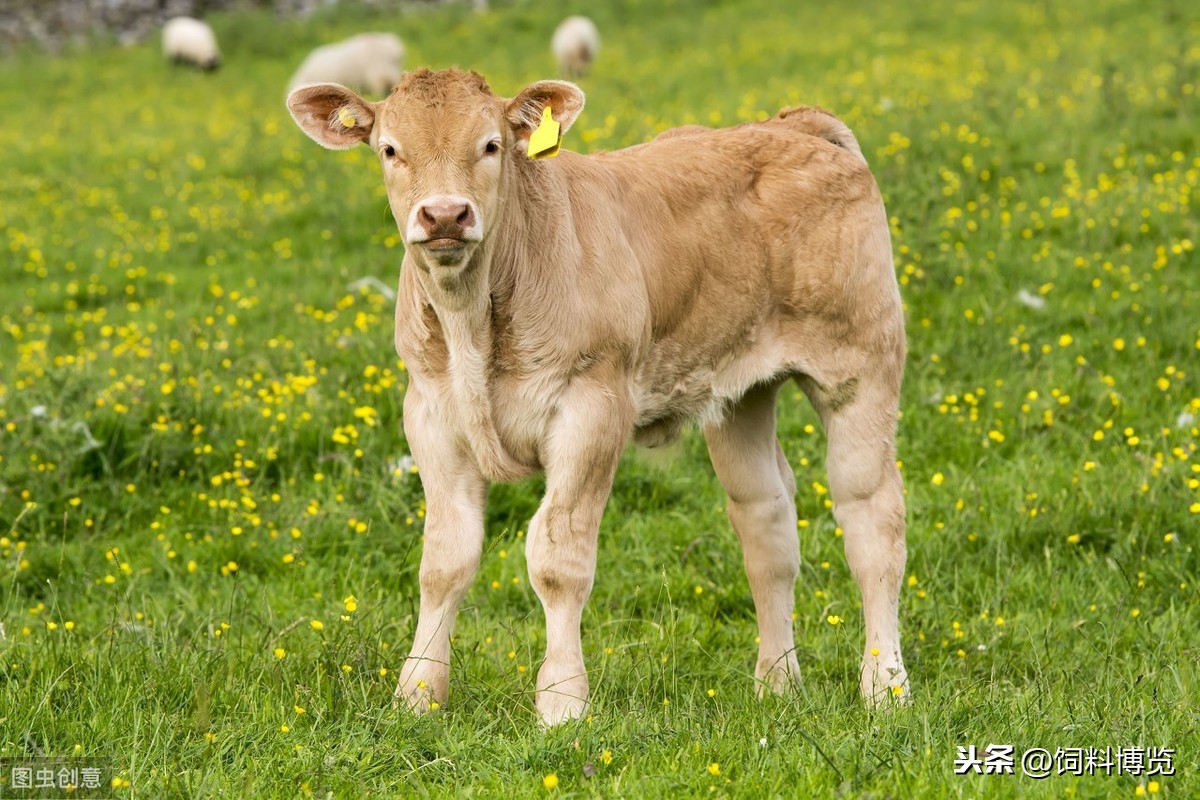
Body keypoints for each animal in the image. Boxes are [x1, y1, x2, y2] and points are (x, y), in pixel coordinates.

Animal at [288, 68, 907, 724]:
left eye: (491, 145)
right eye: (389, 149)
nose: (446, 214)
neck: (474, 323)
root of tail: (791, 125)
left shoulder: (591, 409)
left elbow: (558, 558)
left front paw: (561, 701)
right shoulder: (430, 416)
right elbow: (444, 560)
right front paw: (417, 694)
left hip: (859, 365)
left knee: (872, 522)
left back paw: (885, 688)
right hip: (740, 392)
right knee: (766, 523)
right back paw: (777, 683)